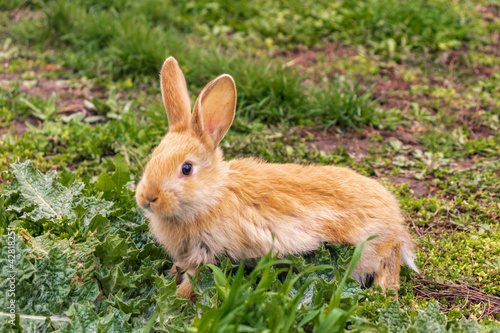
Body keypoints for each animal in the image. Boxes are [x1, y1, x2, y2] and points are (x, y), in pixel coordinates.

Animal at [136, 55, 418, 300]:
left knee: (390, 255)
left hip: (370, 249)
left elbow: (194, 279)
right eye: (154, 155)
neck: (212, 196)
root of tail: (394, 215)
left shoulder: (207, 253)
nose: (148, 197)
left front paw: (177, 296)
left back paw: (383, 290)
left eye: (186, 169)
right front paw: (168, 275)